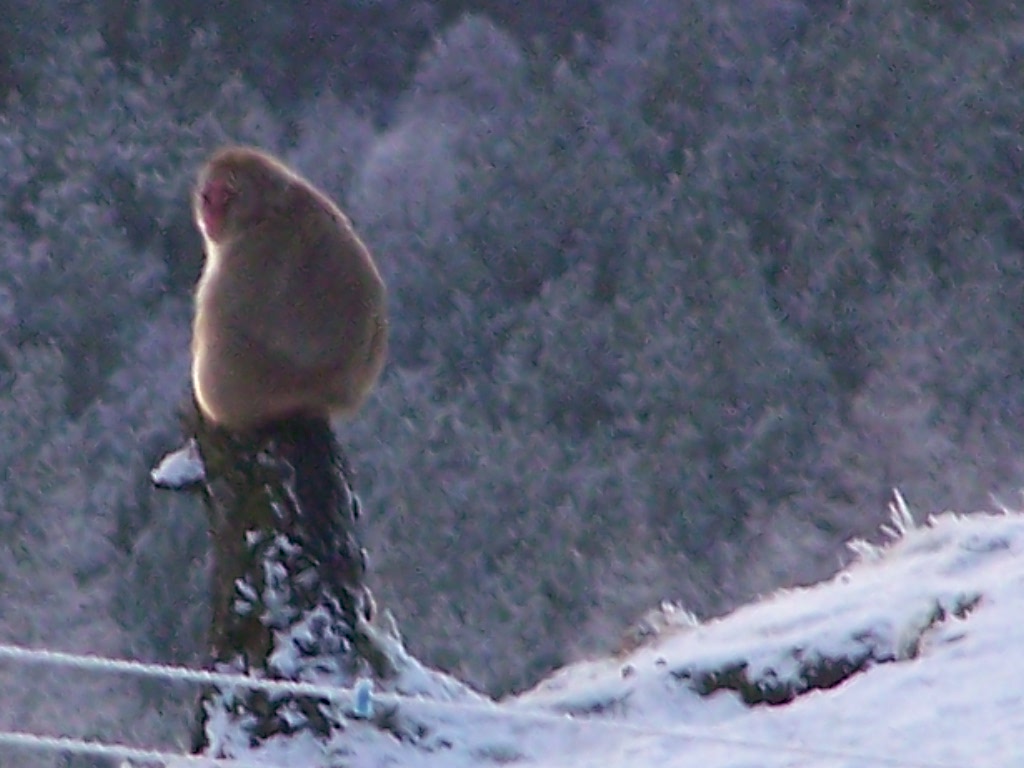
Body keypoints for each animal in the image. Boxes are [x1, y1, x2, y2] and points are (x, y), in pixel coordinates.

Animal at [191, 146, 388, 432]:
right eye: (208, 197)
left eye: (226, 195)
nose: (210, 215)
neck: (263, 215)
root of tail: (330, 393)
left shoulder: (246, 259)